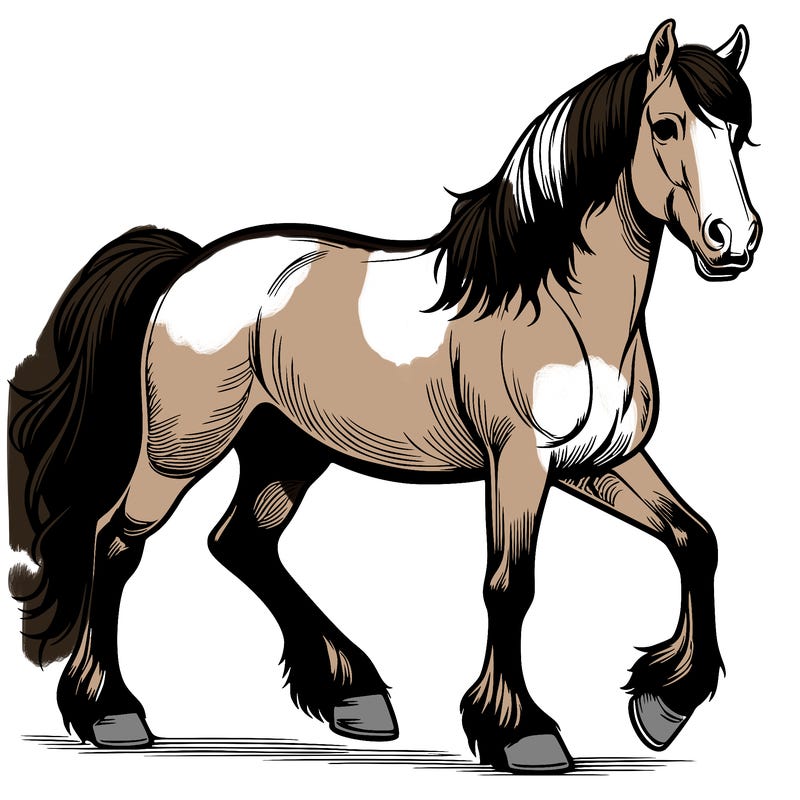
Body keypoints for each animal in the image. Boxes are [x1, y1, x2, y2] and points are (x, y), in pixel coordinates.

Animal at [7, 20, 760, 773]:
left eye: (740, 132)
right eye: (665, 125)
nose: (734, 240)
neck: (557, 304)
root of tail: (188, 266)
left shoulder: (598, 463)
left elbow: (696, 539)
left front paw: (664, 705)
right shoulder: (520, 463)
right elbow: (509, 585)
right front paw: (522, 733)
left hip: (287, 450)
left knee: (241, 541)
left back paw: (353, 695)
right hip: (181, 450)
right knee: (114, 541)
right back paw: (112, 713)